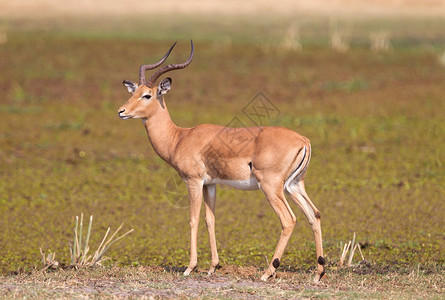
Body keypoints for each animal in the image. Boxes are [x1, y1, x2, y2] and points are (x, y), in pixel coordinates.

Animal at [117, 41, 326, 282]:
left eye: (147, 95)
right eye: (134, 92)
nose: (121, 111)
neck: (179, 138)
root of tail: (303, 140)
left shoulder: (193, 181)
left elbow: (193, 219)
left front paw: (190, 267)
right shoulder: (211, 184)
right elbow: (211, 219)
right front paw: (213, 267)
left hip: (271, 187)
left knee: (289, 220)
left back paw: (268, 272)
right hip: (294, 185)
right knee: (314, 214)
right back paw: (318, 272)